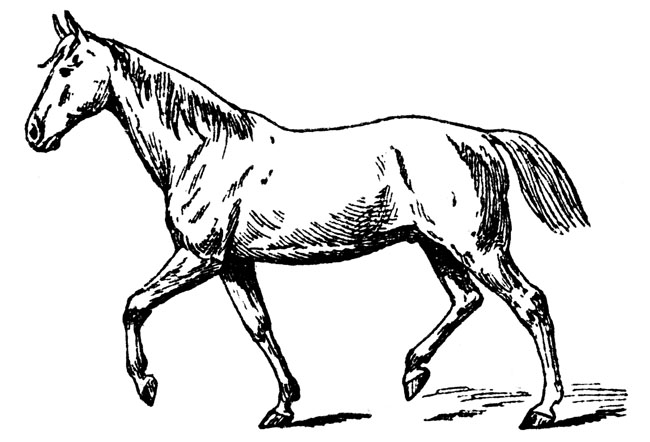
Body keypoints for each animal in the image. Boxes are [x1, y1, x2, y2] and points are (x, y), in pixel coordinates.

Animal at [25, 11, 589, 430]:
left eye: (70, 67)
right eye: (48, 66)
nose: (34, 131)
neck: (203, 149)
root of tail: (482, 137)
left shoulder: (199, 257)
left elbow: (134, 304)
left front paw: (146, 385)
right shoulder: (234, 265)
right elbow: (259, 327)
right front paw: (283, 406)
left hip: (478, 248)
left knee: (530, 303)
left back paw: (543, 409)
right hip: (436, 247)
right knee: (467, 300)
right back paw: (413, 372)